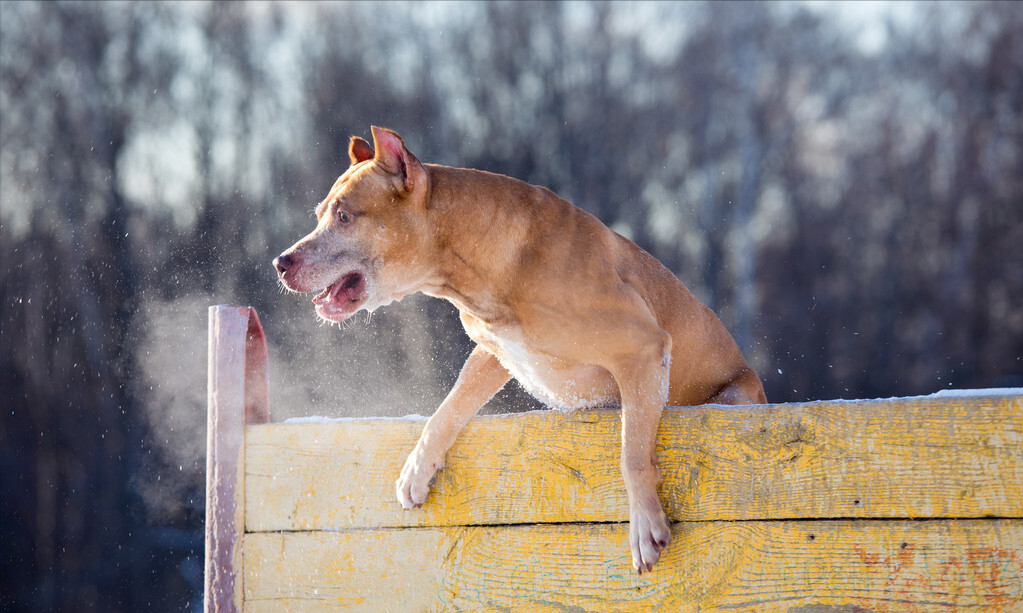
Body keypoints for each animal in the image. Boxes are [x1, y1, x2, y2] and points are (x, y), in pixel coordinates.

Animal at [276, 126, 765, 573]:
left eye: (343, 216)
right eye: (319, 214)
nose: (281, 262)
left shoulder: (642, 349)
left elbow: (632, 453)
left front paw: (645, 524)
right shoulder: (494, 353)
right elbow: (448, 408)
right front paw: (417, 468)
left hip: (737, 394)